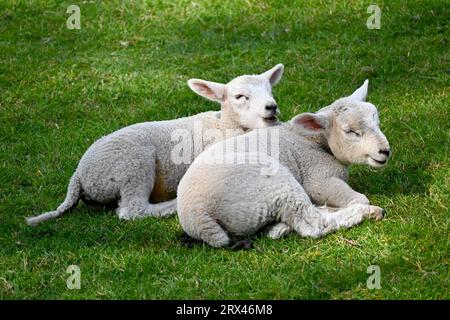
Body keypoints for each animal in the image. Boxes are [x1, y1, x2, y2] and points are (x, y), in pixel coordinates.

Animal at [24, 64, 284, 225]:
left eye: (270, 91)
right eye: (240, 97)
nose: (271, 107)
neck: (224, 127)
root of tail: (78, 175)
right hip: (132, 168)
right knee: (132, 210)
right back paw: (171, 204)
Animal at [178, 79, 392, 248]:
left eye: (378, 123)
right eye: (350, 131)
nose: (385, 151)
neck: (313, 139)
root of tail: (199, 215)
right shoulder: (318, 179)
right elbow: (359, 198)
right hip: (275, 183)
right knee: (312, 223)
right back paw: (369, 212)